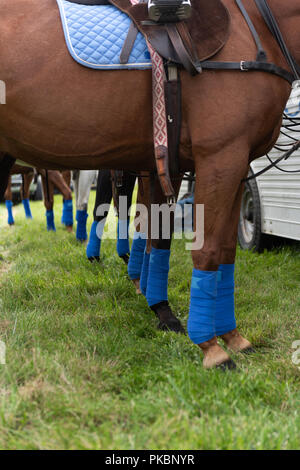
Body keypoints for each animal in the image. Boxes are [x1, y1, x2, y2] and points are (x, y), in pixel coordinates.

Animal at [0, 0, 300, 368]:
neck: (258, 27)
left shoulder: (231, 164)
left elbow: (208, 249)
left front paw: (230, 336)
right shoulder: (220, 157)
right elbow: (205, 250)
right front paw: (210, 346)